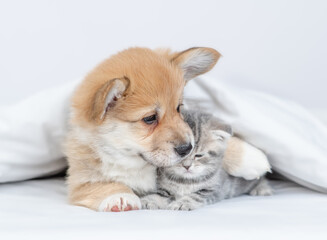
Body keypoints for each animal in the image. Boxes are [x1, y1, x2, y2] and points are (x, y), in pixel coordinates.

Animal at [142, 110, 272, 210]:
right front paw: (150, 200)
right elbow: (160, 194)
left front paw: (182, 203)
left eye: (198, 155)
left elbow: (195, 196)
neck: (185, 181)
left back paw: (263, 188)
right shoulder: (163, 187)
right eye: (181, 154)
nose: (187, 166)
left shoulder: (215, 190)